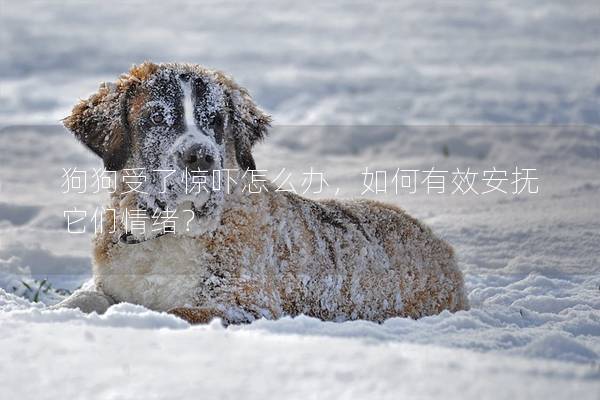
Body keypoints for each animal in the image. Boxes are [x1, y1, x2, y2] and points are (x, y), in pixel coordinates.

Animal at [56, 63, 468, 324]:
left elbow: (177, 312)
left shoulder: (246, 304)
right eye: (157, 118)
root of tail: (441, 246)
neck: (167, 230)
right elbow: (81, 299)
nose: (201, 156)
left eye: (216, 121)